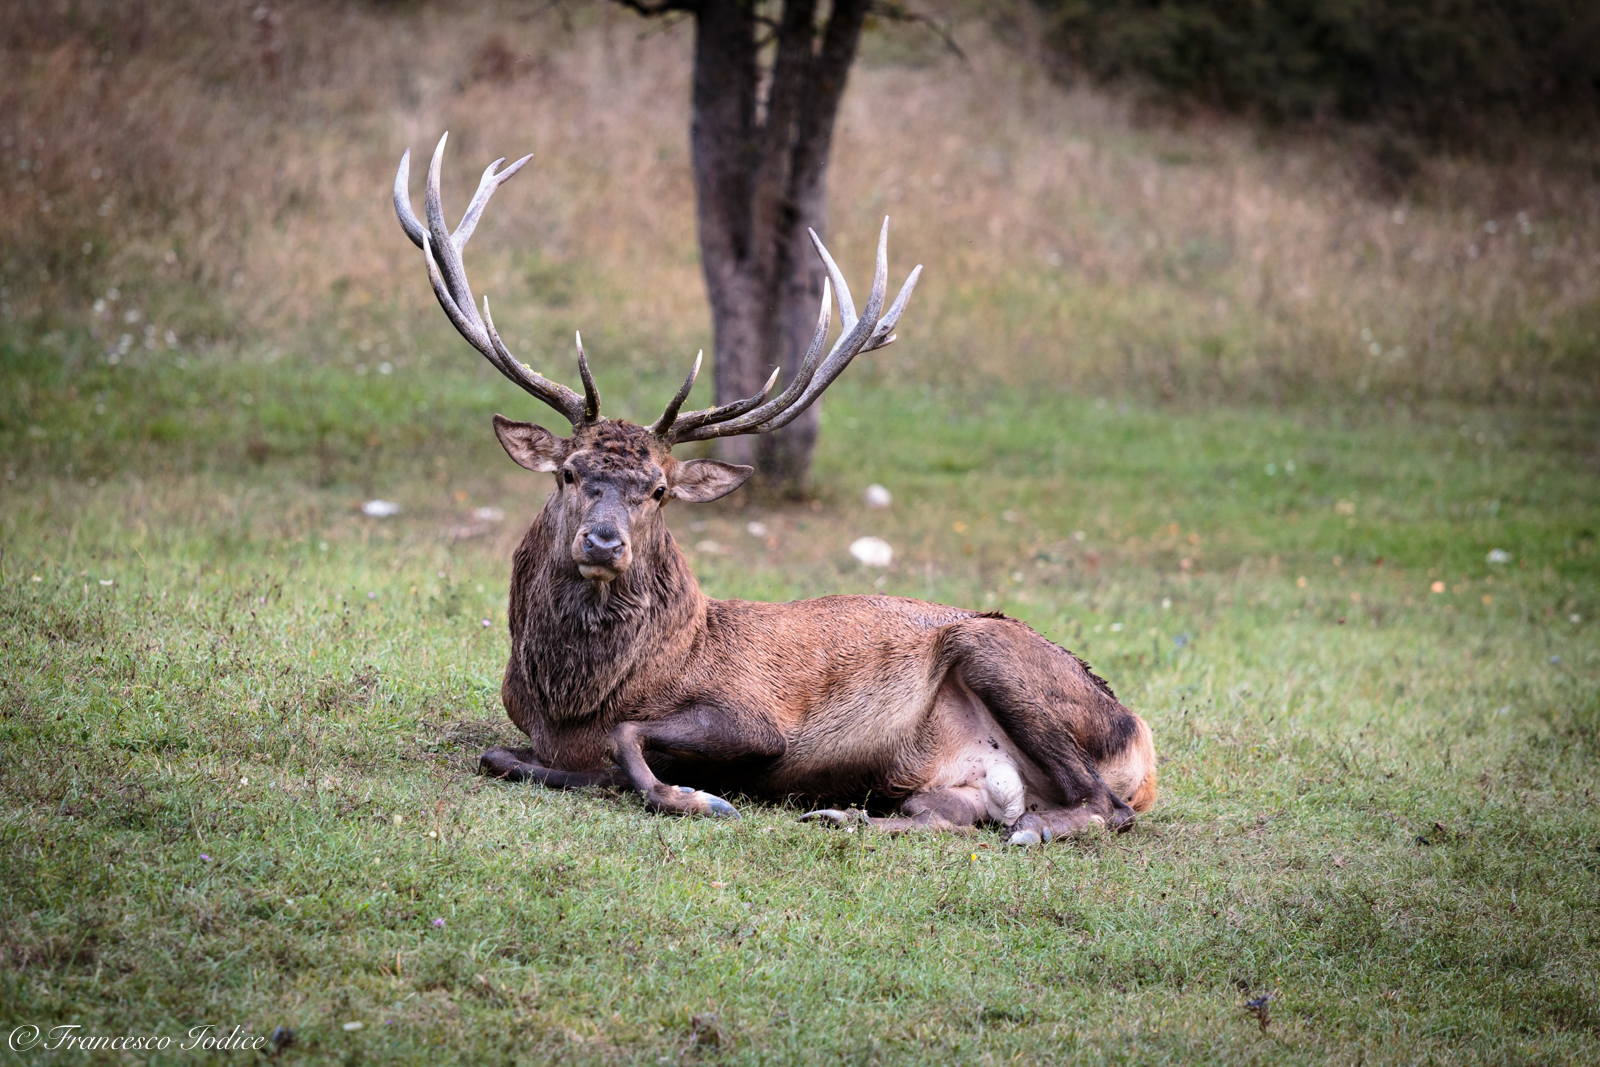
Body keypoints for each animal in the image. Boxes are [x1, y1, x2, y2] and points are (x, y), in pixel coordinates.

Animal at [394, 135, 1157, 845]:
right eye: (569, 471)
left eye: (659, 491)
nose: (604, 542)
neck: (572, 703)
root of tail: (1144, 749)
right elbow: (499, 754)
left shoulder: (757, 719)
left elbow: (627, 738)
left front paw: (696, 796)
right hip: (961, 778)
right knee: (946, 813)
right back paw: (844, 814)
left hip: (997, 651)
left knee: (1104, 806)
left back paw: (1029, 827)